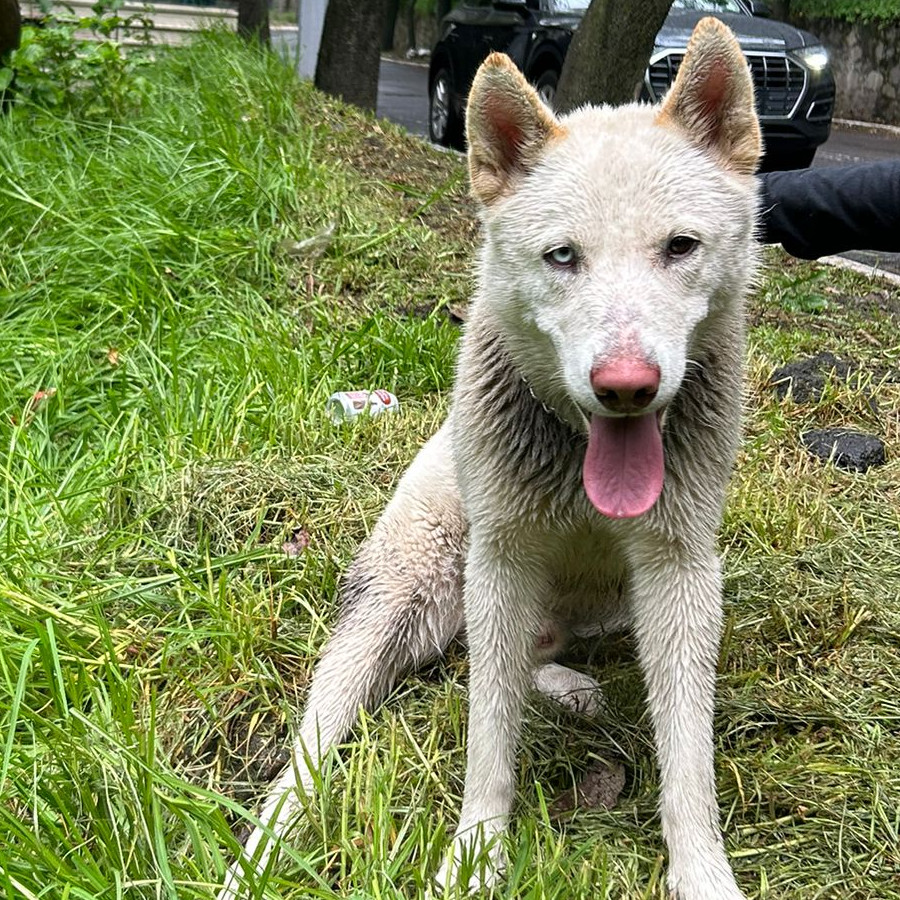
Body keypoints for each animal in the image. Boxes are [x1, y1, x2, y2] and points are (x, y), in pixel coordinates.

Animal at [218, 19, 760, 900]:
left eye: (681, 247)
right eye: (562, 256)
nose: (625, 387)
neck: (577, 460)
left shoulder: (679, 573)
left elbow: (688, 755)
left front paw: (701, 870)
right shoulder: (501, 564)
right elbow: (487, 737)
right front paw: (474, 855)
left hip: (611, 603)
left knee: (517, 657)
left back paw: (568, 686)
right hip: (404, 595)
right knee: (324, 740)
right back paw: (261, 851)